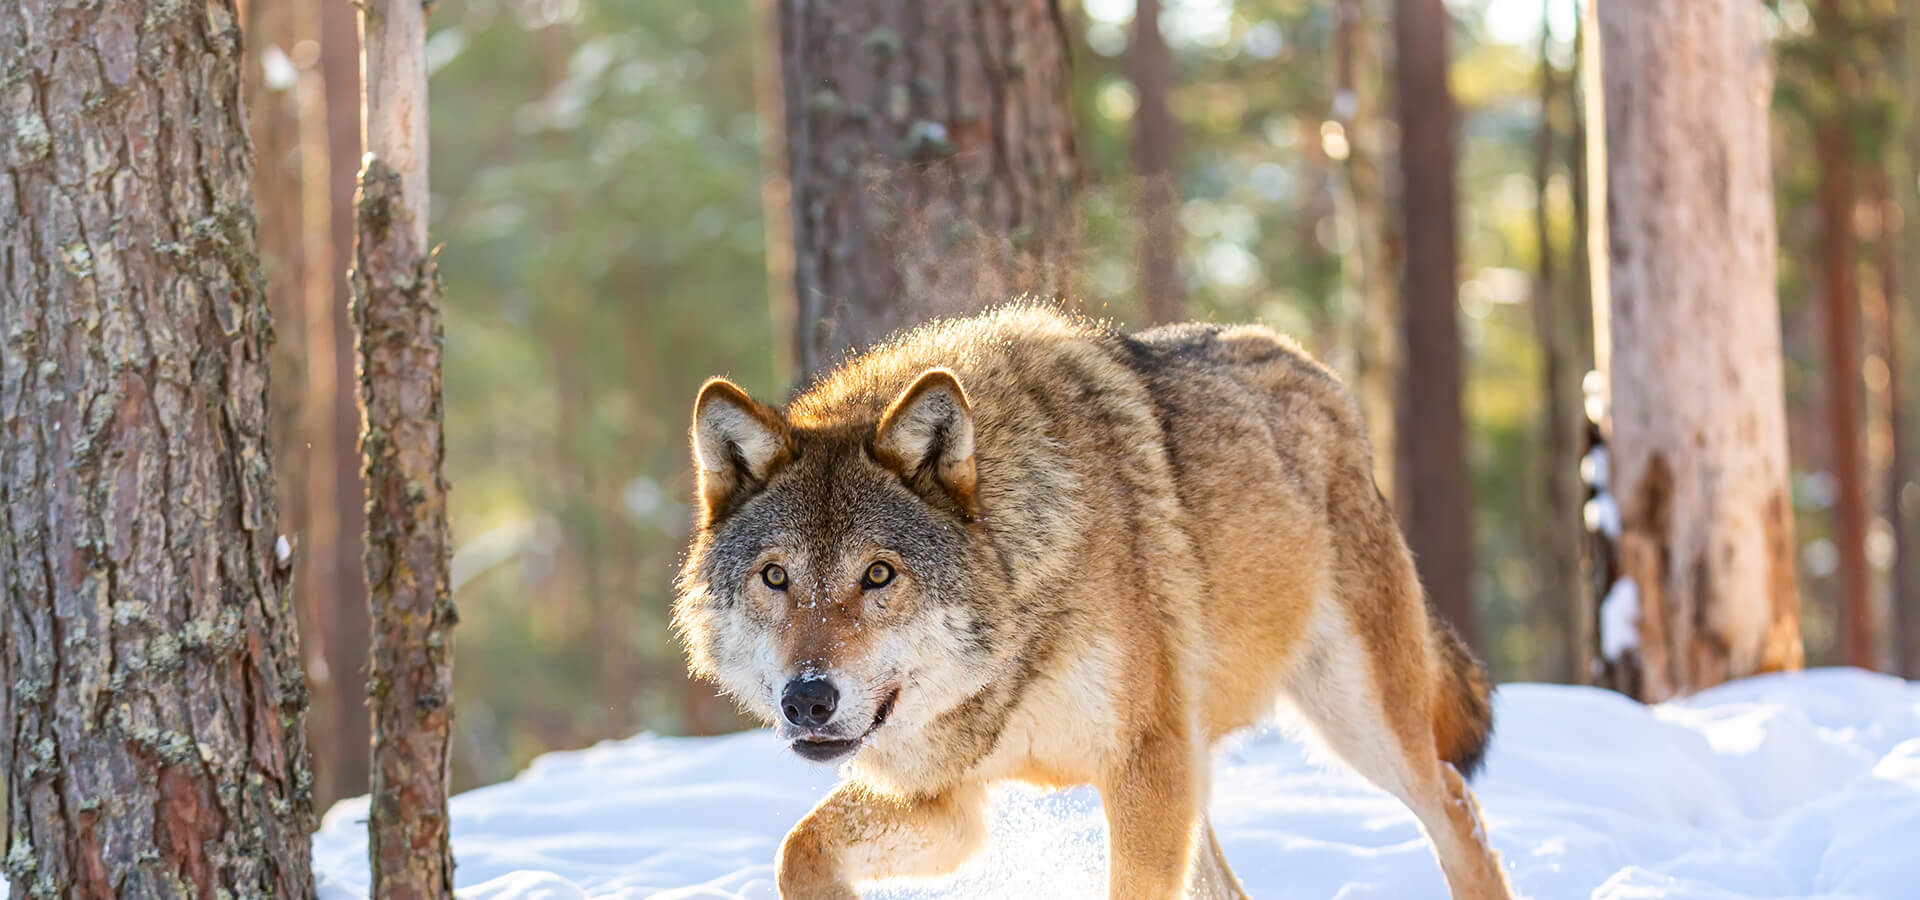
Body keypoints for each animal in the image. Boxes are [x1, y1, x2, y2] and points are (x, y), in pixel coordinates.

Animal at [673, 306, 1514, 900]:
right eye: (776, 578)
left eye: (879, 575)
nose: (807, 699)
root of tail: (1314, 367)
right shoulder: (948, 802)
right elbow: (797, 851)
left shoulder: (1142, 770)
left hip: (1355, 724)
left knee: (1459, 807)